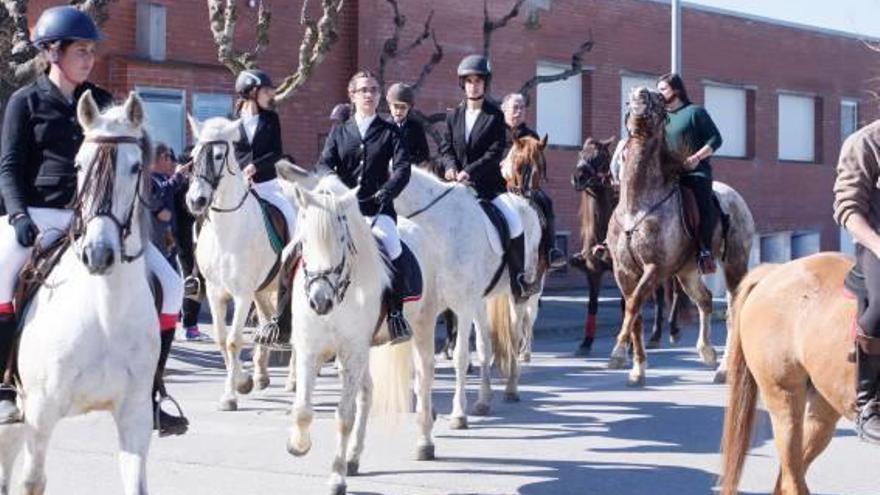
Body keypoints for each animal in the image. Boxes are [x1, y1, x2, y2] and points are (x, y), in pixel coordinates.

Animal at [0, 93, 156, 495]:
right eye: (79, 164)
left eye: (135, 167)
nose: (98, 255)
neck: (105, 312)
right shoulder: (40, 412)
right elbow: (33, 482)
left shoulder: (135, 414)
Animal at [186, 116, 292, 410]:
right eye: (193, 156)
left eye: (218, 155)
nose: (196, 200)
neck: (227, 230)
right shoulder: (215, 292)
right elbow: (222, 339)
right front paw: (243, 381)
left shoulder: (242, 293)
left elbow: (234, 340)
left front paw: (230, 395)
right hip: (264, 288)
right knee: (266, 320)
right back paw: (261, 375)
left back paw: (292, 381)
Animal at [276, 168, 440, 495]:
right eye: (304, 240)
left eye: (342, 237)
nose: (320, 301)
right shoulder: (311, 349)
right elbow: (303, 408)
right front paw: (298, 445)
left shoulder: (352, 351)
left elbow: (344, 415)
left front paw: (336, 476)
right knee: (368, 392)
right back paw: (354, 457)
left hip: (422, 326)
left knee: (424, 379)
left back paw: (424, 443)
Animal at [394, 169, 544, 428]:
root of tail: (525, 203)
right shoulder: (429, 308)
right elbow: (421, 361)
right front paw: (428, 410)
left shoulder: (461, 306)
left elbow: (460, 357)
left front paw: (458, 414)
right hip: (479, 302)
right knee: (486, 347)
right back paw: (483, 400)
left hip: (517, 295)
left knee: (515, 338)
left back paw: (511, 389)